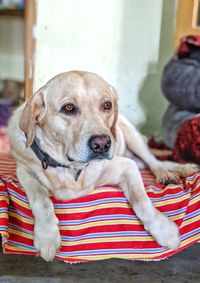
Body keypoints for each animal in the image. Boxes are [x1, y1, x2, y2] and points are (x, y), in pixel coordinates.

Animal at [8, 70, 198, 262]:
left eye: (107, 105)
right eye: (68, 108)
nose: (102, 144)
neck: (69, 168)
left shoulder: (127, 166)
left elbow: (141, 200)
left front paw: (164, 231)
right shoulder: (23, 170)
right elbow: (40, 199)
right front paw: (47, 236)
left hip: (132, 137)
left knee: (154, 162)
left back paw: (170, 172)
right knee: (147, 163)